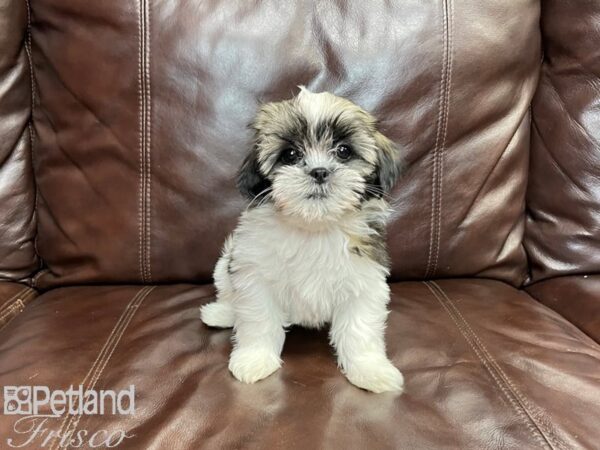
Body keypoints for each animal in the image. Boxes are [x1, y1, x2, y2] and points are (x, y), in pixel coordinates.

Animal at [200, 88, 404, 394]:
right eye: (291, 154)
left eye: (343, 151)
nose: (319, 171)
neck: (313, 226)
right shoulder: (254, 276)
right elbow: (259, 319)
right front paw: (255, 359)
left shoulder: (364, 279)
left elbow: (360, 329)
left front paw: (370, 370)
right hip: (225, 264)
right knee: (228, 294)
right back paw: (221, 313)